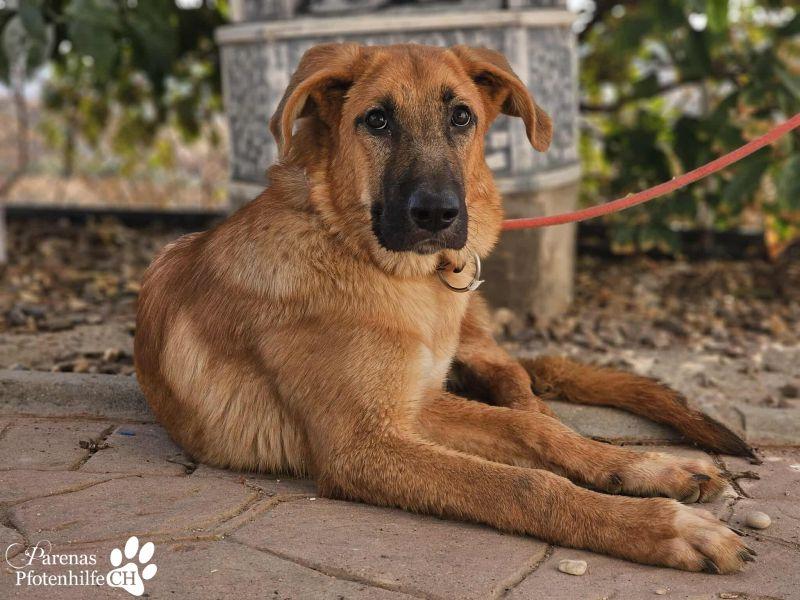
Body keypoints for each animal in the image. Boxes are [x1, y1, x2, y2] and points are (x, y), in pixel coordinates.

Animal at [135, 43, 755, 573]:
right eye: (376, 120)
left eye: (461, 117)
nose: (437, 214)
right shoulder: (369, 441)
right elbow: (523, 483)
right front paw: (664, 527)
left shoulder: (417, 405)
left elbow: (532, 433)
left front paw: (647, 471)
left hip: (479, 344)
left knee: (530, 401)